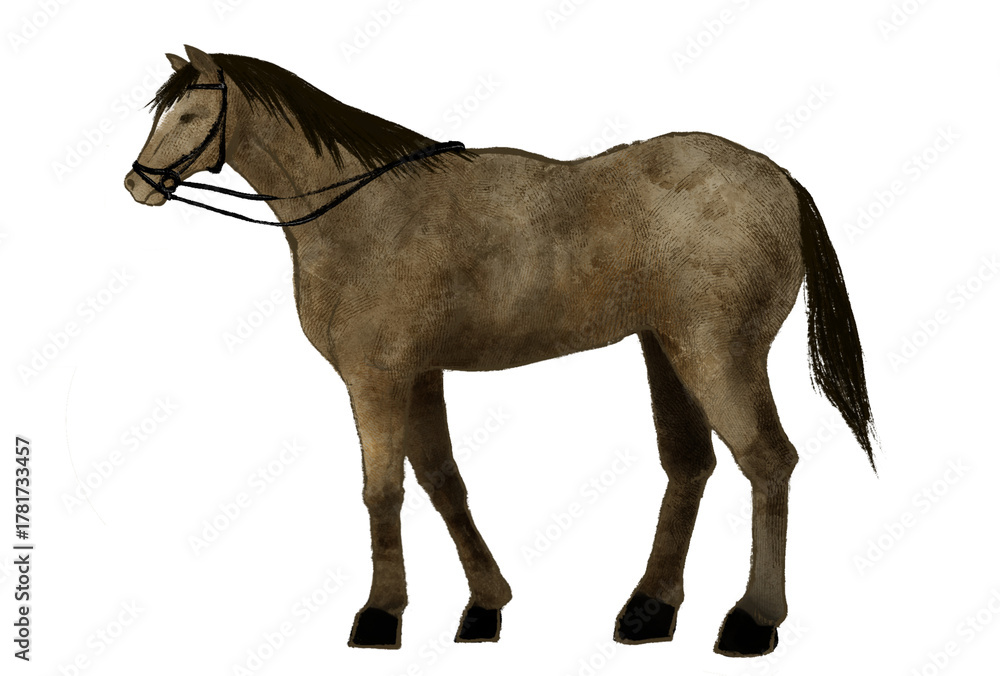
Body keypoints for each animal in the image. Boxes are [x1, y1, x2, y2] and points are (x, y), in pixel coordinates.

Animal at [124, 45, 876, 656]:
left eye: (190, 112)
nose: (137, 183)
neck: (364, 211)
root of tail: (778, 178)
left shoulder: (376, 377)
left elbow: (382, 489)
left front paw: (381, 615)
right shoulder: (419, 373)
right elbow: (442, 482)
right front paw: (485, 606)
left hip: (717, 354)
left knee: (768, 462)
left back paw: (753, 620)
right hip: (667, 350)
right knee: (690, 465)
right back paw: (649, 609)